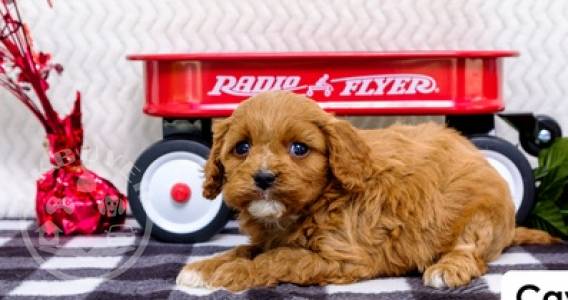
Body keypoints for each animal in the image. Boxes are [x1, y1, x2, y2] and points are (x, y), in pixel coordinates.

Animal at [179, 91, 560, 290]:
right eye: (242, 148)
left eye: (299, 149)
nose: (263, 178)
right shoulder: (269, 237)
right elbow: (246, 249)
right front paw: (205, 266)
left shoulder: (346, 256)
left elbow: (281, 258)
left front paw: (231, 273)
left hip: (480, 217)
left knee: (470, 249)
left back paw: (447, 269)